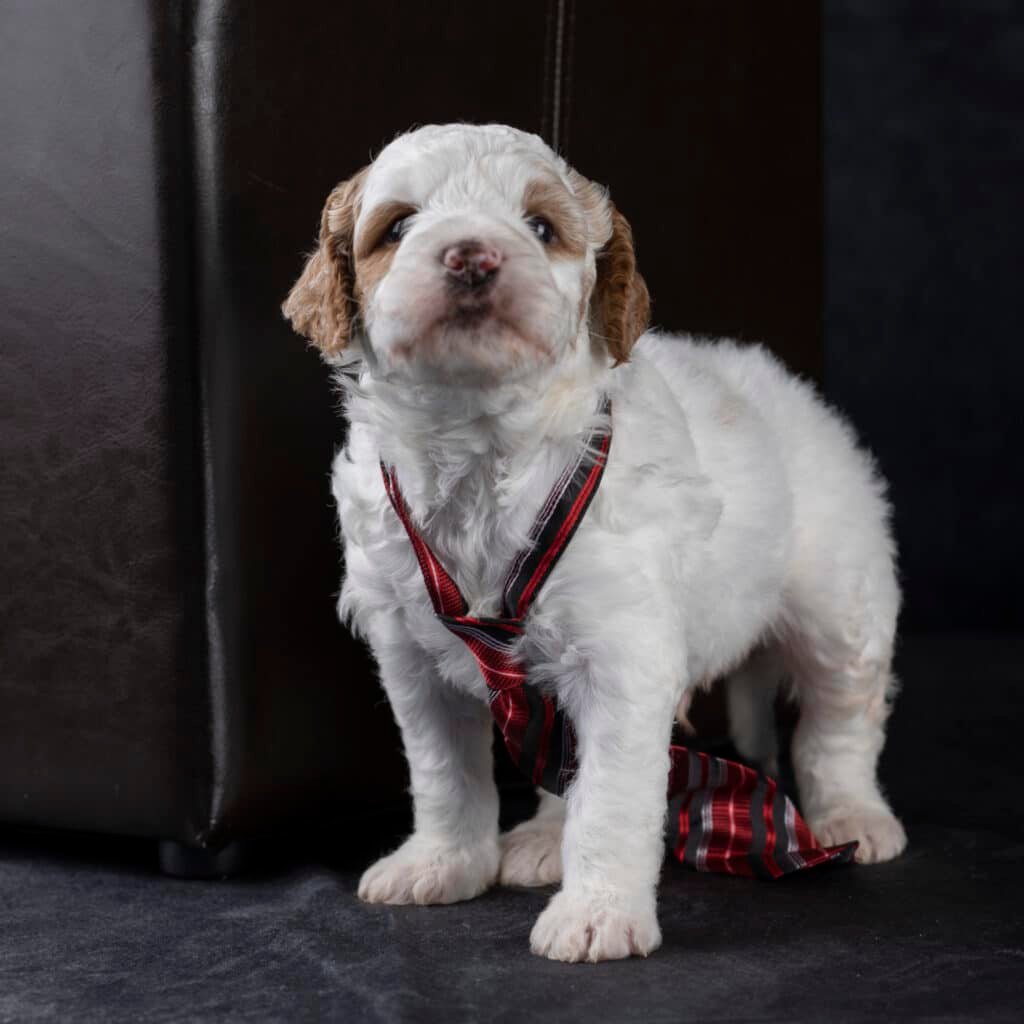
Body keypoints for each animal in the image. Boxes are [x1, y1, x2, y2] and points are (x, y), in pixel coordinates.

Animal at [280, 123, 905, 962]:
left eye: (541, 228)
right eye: (399, 227)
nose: (471, 257)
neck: (479, 444)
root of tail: (793, 390)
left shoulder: (621, 657)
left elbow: (610, 798)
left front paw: (597, 913)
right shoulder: (412, 655)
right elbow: (444, 771)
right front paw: (443, 862)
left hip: (838, 595)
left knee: (839, 720)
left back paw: (853, 816)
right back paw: (543, 839)